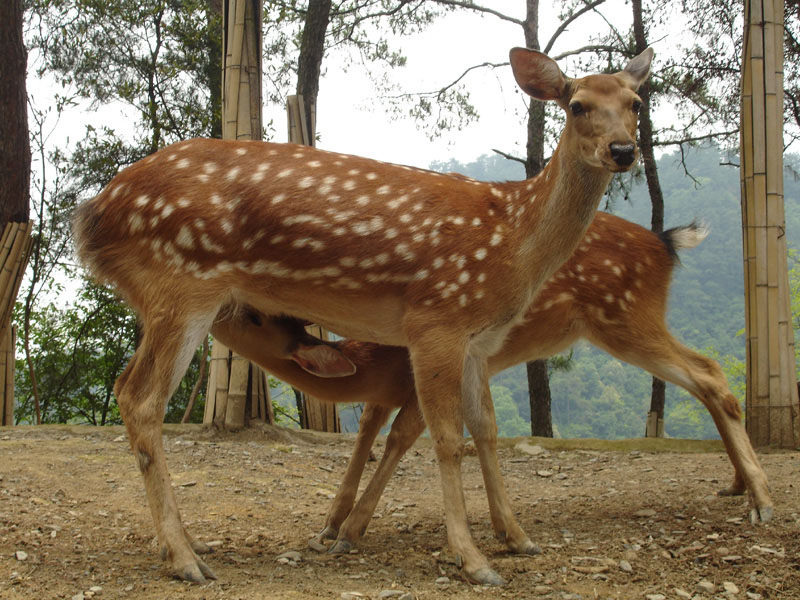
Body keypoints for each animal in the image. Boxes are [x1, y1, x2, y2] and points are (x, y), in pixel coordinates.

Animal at [72, 49, 652, 584]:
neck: (512, 244)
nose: (623, 150)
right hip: (182, 284)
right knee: (139, 397)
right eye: (577, 105)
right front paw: (473, 560)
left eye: (636, 103)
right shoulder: (435, 319)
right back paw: (184, 558)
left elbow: (485, 430)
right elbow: (447, 438)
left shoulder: (478, 342)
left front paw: (518, 537)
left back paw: (188, 544)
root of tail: (91, 215)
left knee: (129, 389)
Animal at [209, 214, 772, 556]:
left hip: (626, 318)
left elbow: (402, 438)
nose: (215, 307)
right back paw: (738, 485)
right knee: (705, 378)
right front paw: (330, 522)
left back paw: (762, 500)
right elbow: (368, 429)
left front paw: (350, 531)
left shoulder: (424, 372)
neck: (375, 362)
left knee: (710, 372)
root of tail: (664, 242)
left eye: (254, 316)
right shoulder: (400, 386)